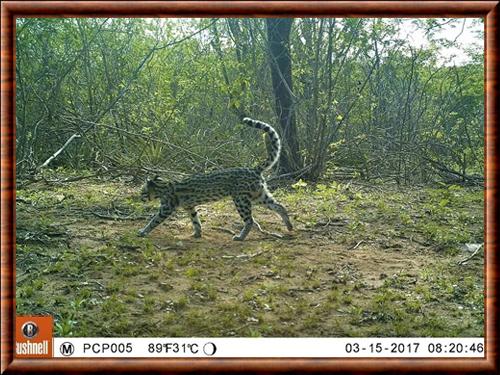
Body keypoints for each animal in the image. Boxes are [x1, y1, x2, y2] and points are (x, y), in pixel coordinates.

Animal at [138, 117, 292, 241]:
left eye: (143, 192)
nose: (139, 198)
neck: (162, 186)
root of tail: (253, 169)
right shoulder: (190, 206)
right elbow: (196, 220)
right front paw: (197, 233)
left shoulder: (166, 208)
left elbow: (154, 220)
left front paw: (143, 231)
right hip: (259, 195)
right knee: (279, 206)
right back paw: (289, 226)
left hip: (241, 199)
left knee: (250, 220)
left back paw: (240, 237)